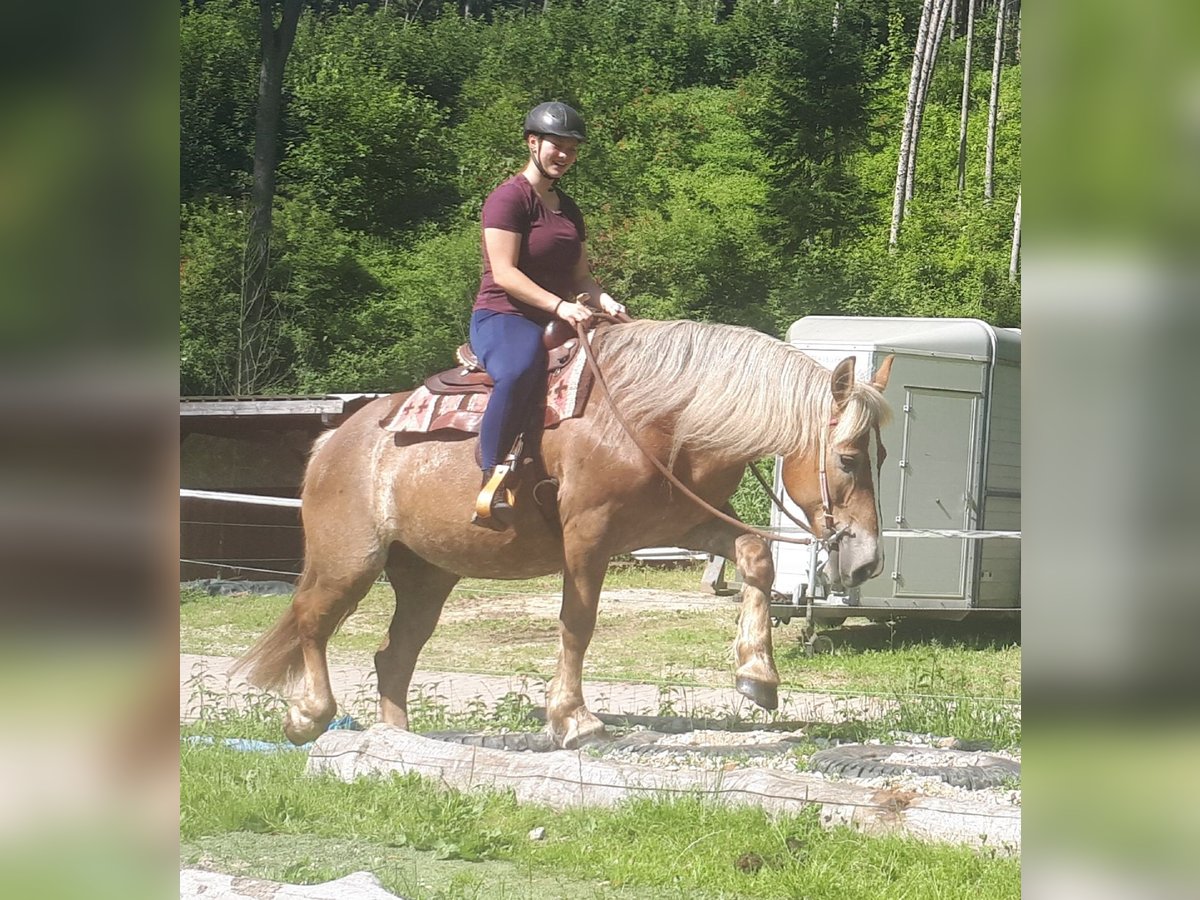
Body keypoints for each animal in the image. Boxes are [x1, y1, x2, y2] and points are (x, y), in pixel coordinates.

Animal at [234, 321, 892, 748]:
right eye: (848, 458)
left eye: (882, 455)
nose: (866, 561)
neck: (655, 420)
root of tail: (335, 440)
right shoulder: (587, 538)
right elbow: (578, 624)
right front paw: (574, 718)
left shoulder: (686, 523)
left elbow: (756, 555)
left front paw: (758, 676)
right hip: (349, 560)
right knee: (313, 623)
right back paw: (307, 716)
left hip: (426, 577)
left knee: (394, 654)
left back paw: (398, 741)